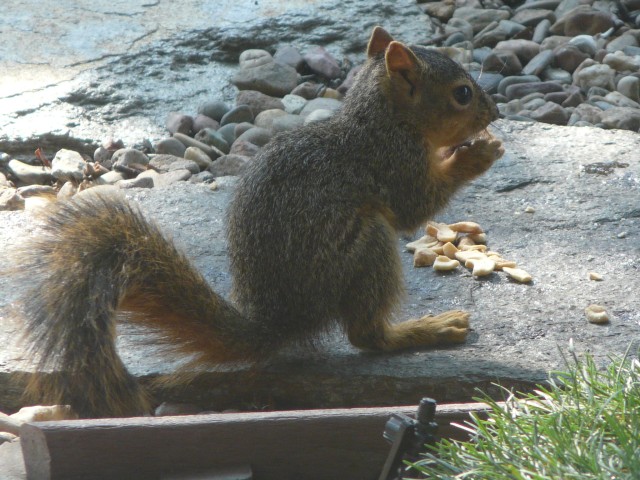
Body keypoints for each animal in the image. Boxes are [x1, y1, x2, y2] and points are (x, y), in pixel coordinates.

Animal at [18, 27, 504, 418]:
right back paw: (425, 329)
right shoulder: (394, 163)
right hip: (365, 249)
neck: (382, 120)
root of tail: (279, 321)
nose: (495, 114)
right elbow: (413, 207)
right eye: (462, 93)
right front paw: (479, 153)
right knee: (367, 336)